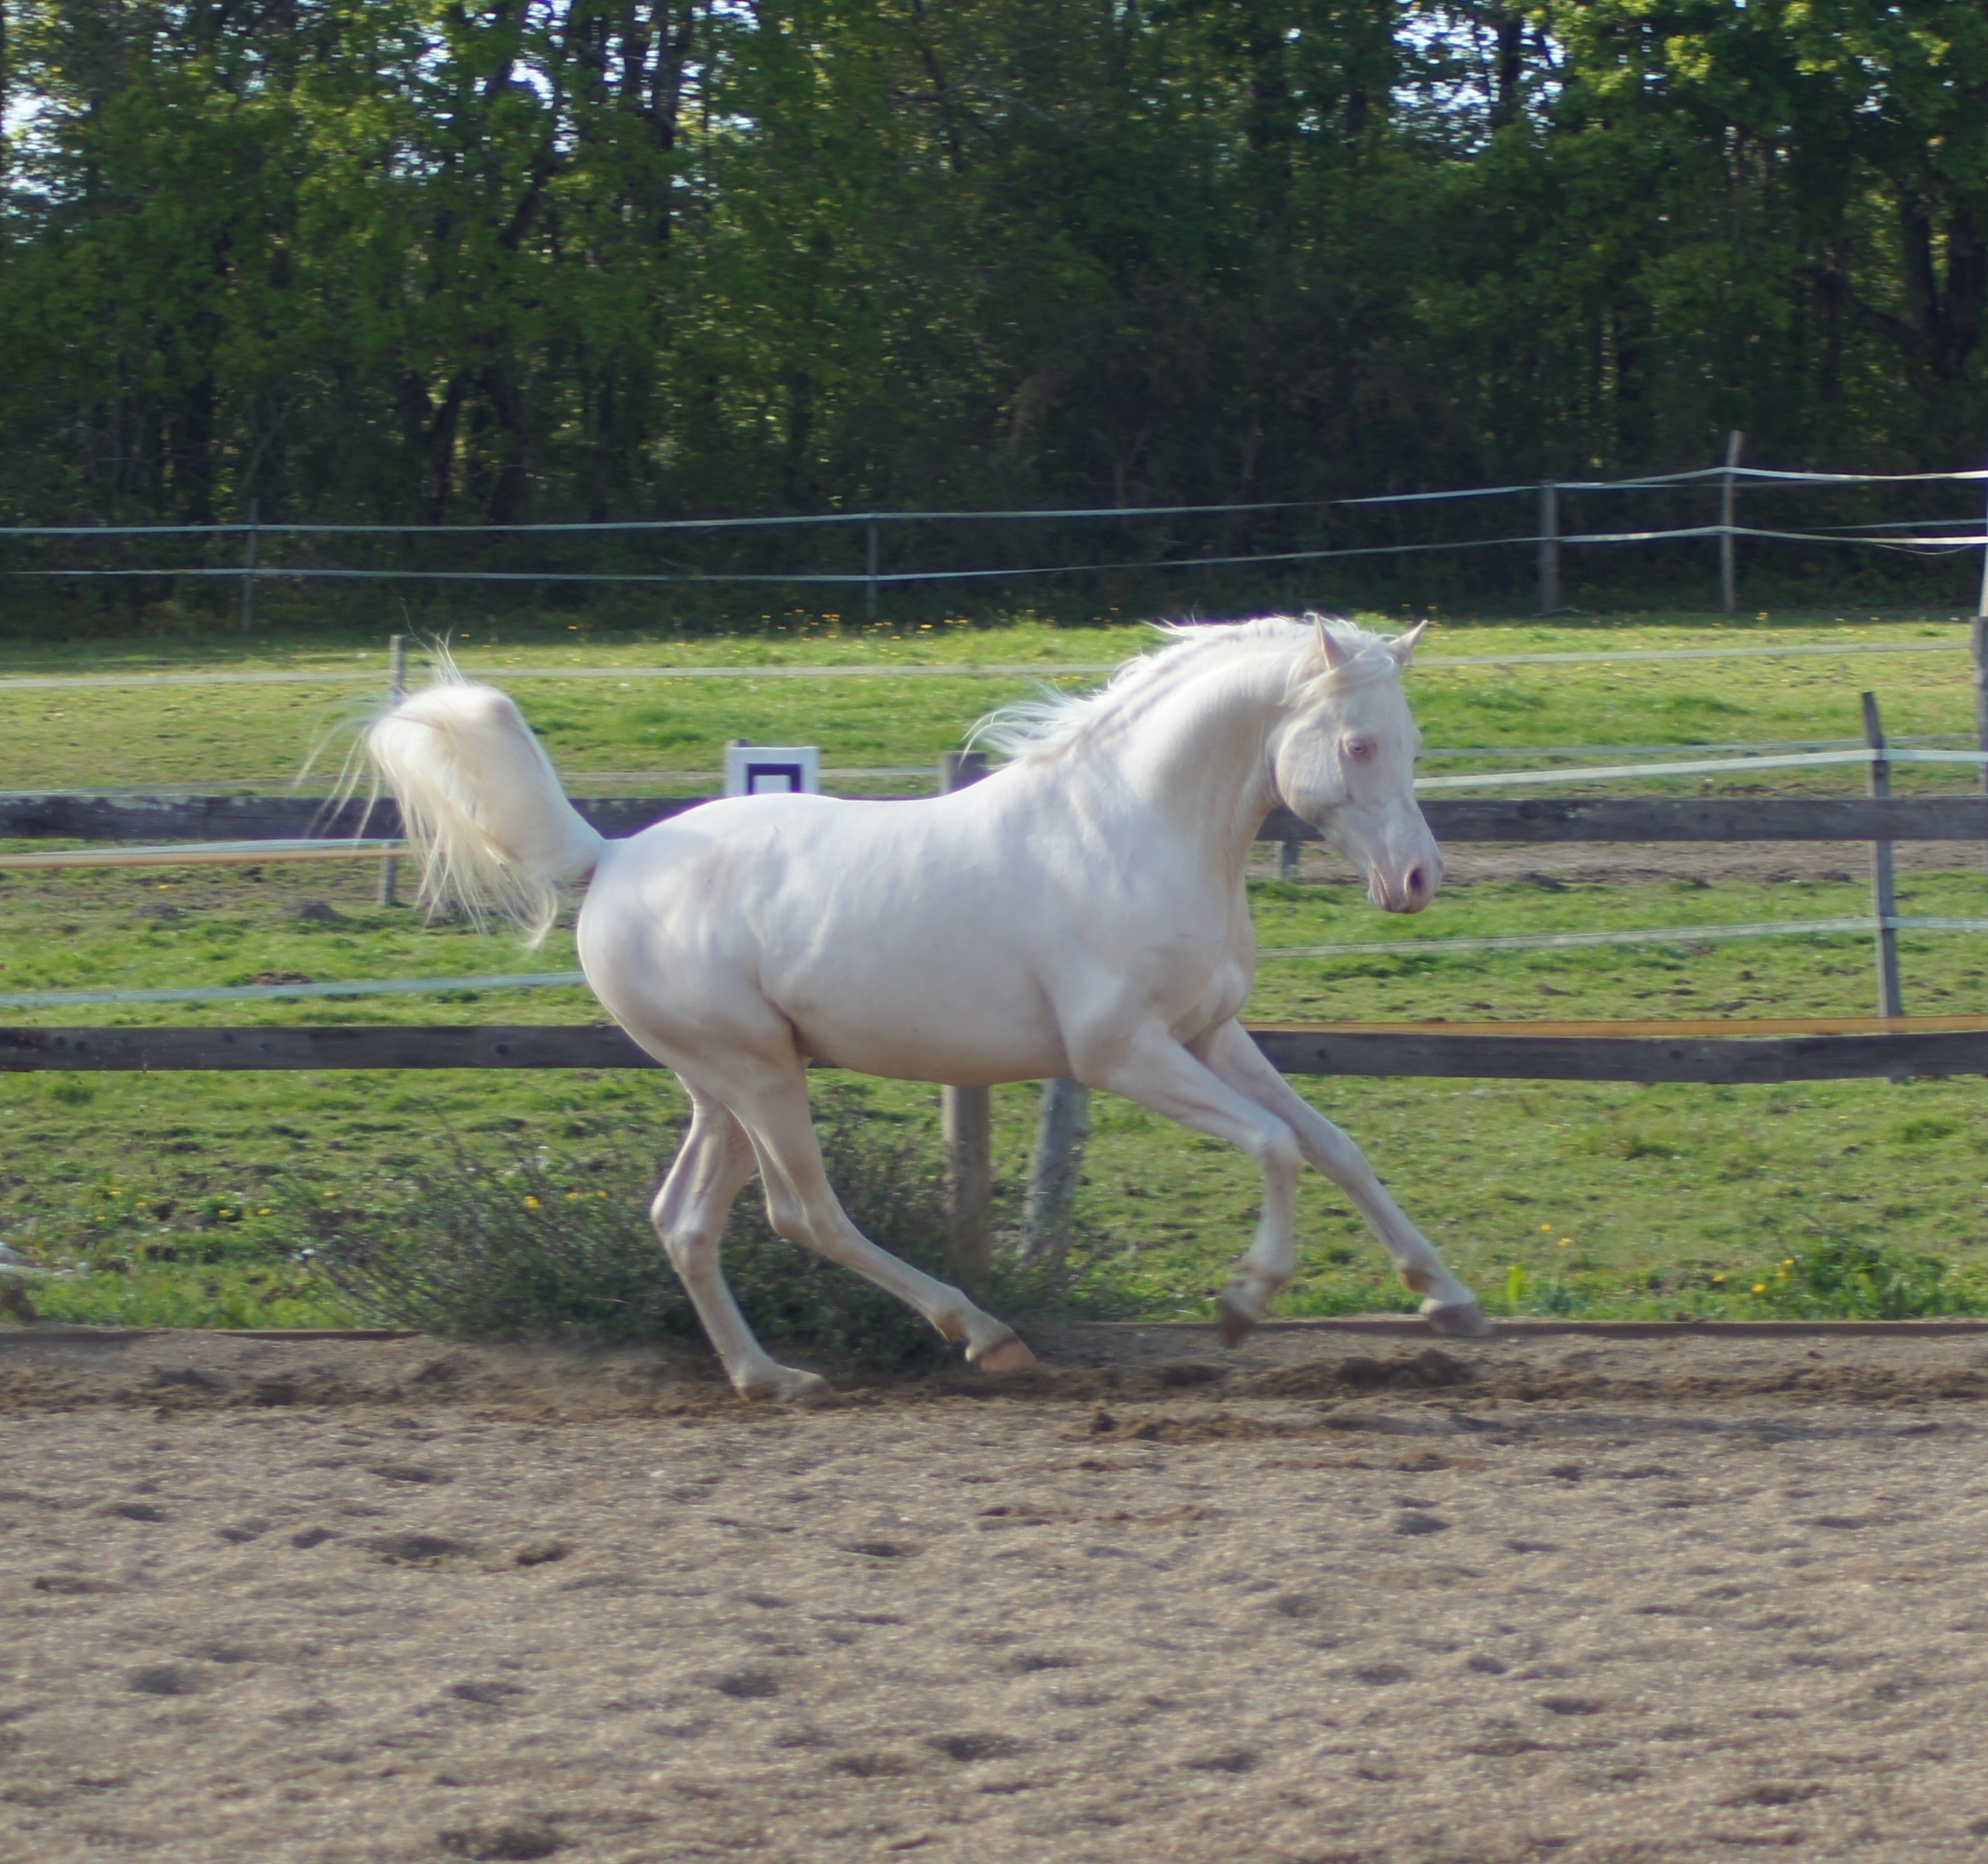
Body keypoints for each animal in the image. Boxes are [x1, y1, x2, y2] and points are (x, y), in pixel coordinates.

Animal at [375, 611, 1495, 1399]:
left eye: (1411, 740)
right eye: (1358, 745)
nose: (1418, 880)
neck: (1133, 832)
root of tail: (609, 858)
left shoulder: (1209, 1034)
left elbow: (1334, 1145)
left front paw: (1448, 1299)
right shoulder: (1121, 1053)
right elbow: (1274, 1145)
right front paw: (1243, 1301)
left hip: (727, 1086)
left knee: (686, 1219)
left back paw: (769, 1376)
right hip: (756, 1075)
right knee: (804, 1212)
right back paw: (983, 1336)